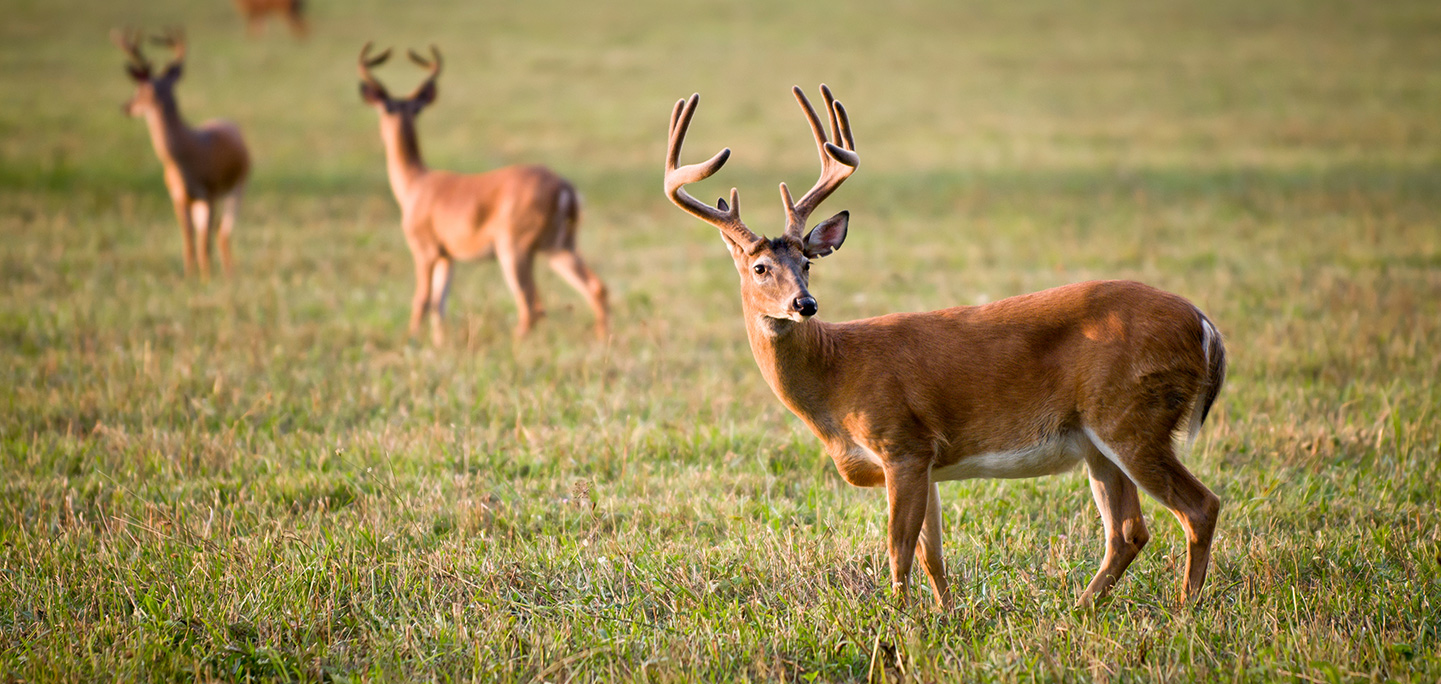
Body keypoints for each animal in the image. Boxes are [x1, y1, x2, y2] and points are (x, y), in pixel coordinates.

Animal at [113, 26, 249, 277]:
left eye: (140, 89)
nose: (125, 107)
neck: (184, 159)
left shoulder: (209, 192)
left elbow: (204, 241)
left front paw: (206, 277)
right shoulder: (178, 196)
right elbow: (188, 238)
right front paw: (189, 275)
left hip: (237, 187)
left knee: (222, 232)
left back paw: (228, 272)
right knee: (212, 231)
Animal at [363, 42, 610, 345]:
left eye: (389, 108)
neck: (416, 183)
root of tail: (565, 188)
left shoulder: (425, 249)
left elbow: (421, 300)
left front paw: (411, 342)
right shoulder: (448, 256)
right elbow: (439, 303)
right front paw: (439, 345)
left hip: (513, 248)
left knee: (531, 306)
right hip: (559, 247)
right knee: (595, 287)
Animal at [662, 87, 1227, 610]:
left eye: (807, 262)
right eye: (760, 267)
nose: (805, 304)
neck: (836, 374)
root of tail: (1205, 326)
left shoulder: (902, 442)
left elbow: (898, 552)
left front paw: (897, 622)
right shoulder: (927, 460)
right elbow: (932, 554)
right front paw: (945, 616)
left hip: (1132, 416)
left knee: (1199, 506)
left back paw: (1186, 610)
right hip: (1099, 440)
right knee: (1129, 530)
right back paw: (1080, 609)